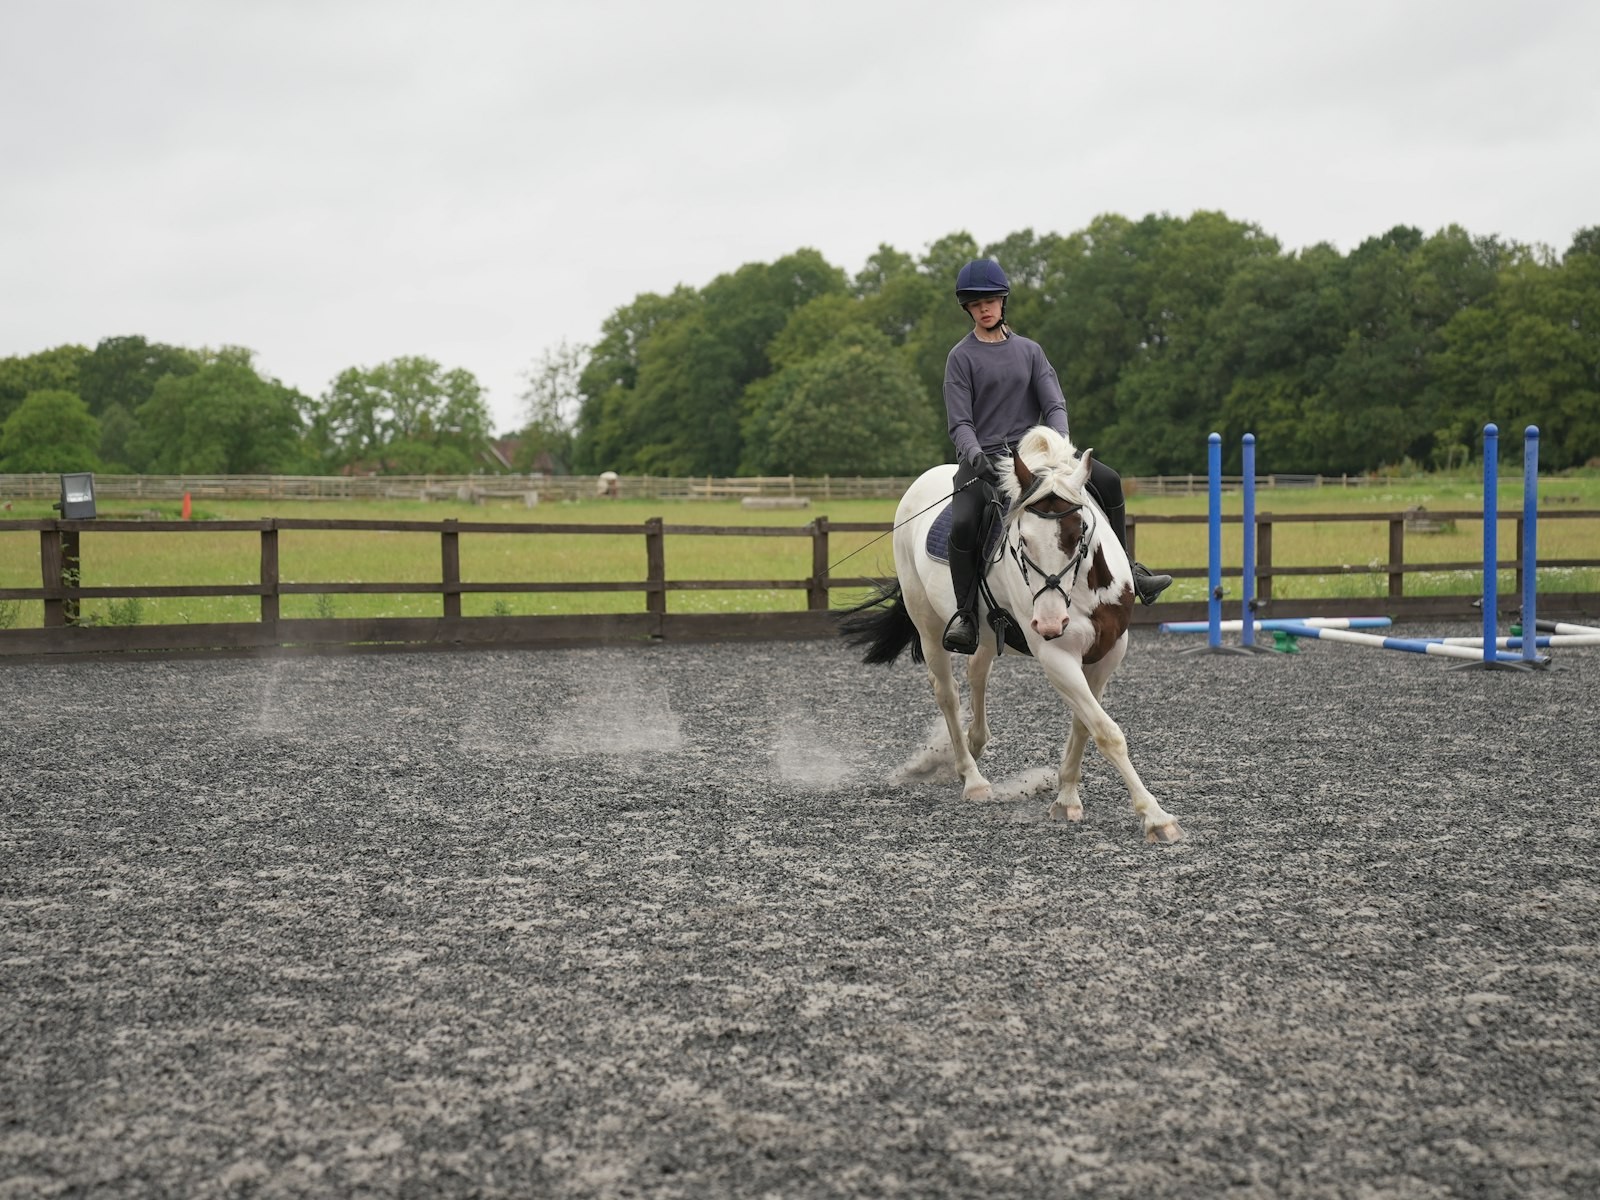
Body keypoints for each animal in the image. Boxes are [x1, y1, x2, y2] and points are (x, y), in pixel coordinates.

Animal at [839, 426, 1182, 843]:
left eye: (1079, 533)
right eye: (1021, 540)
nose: (1049, 624)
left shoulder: (1108, 651)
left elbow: (1084, 724)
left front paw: (1066, 799)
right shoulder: (1057, 657)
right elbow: (1105, 731)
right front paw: (1156, 817)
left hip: (987, 633)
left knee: (977, 672)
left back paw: (975, 743)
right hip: (928, 624)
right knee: (947, 694)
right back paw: (972, 778)